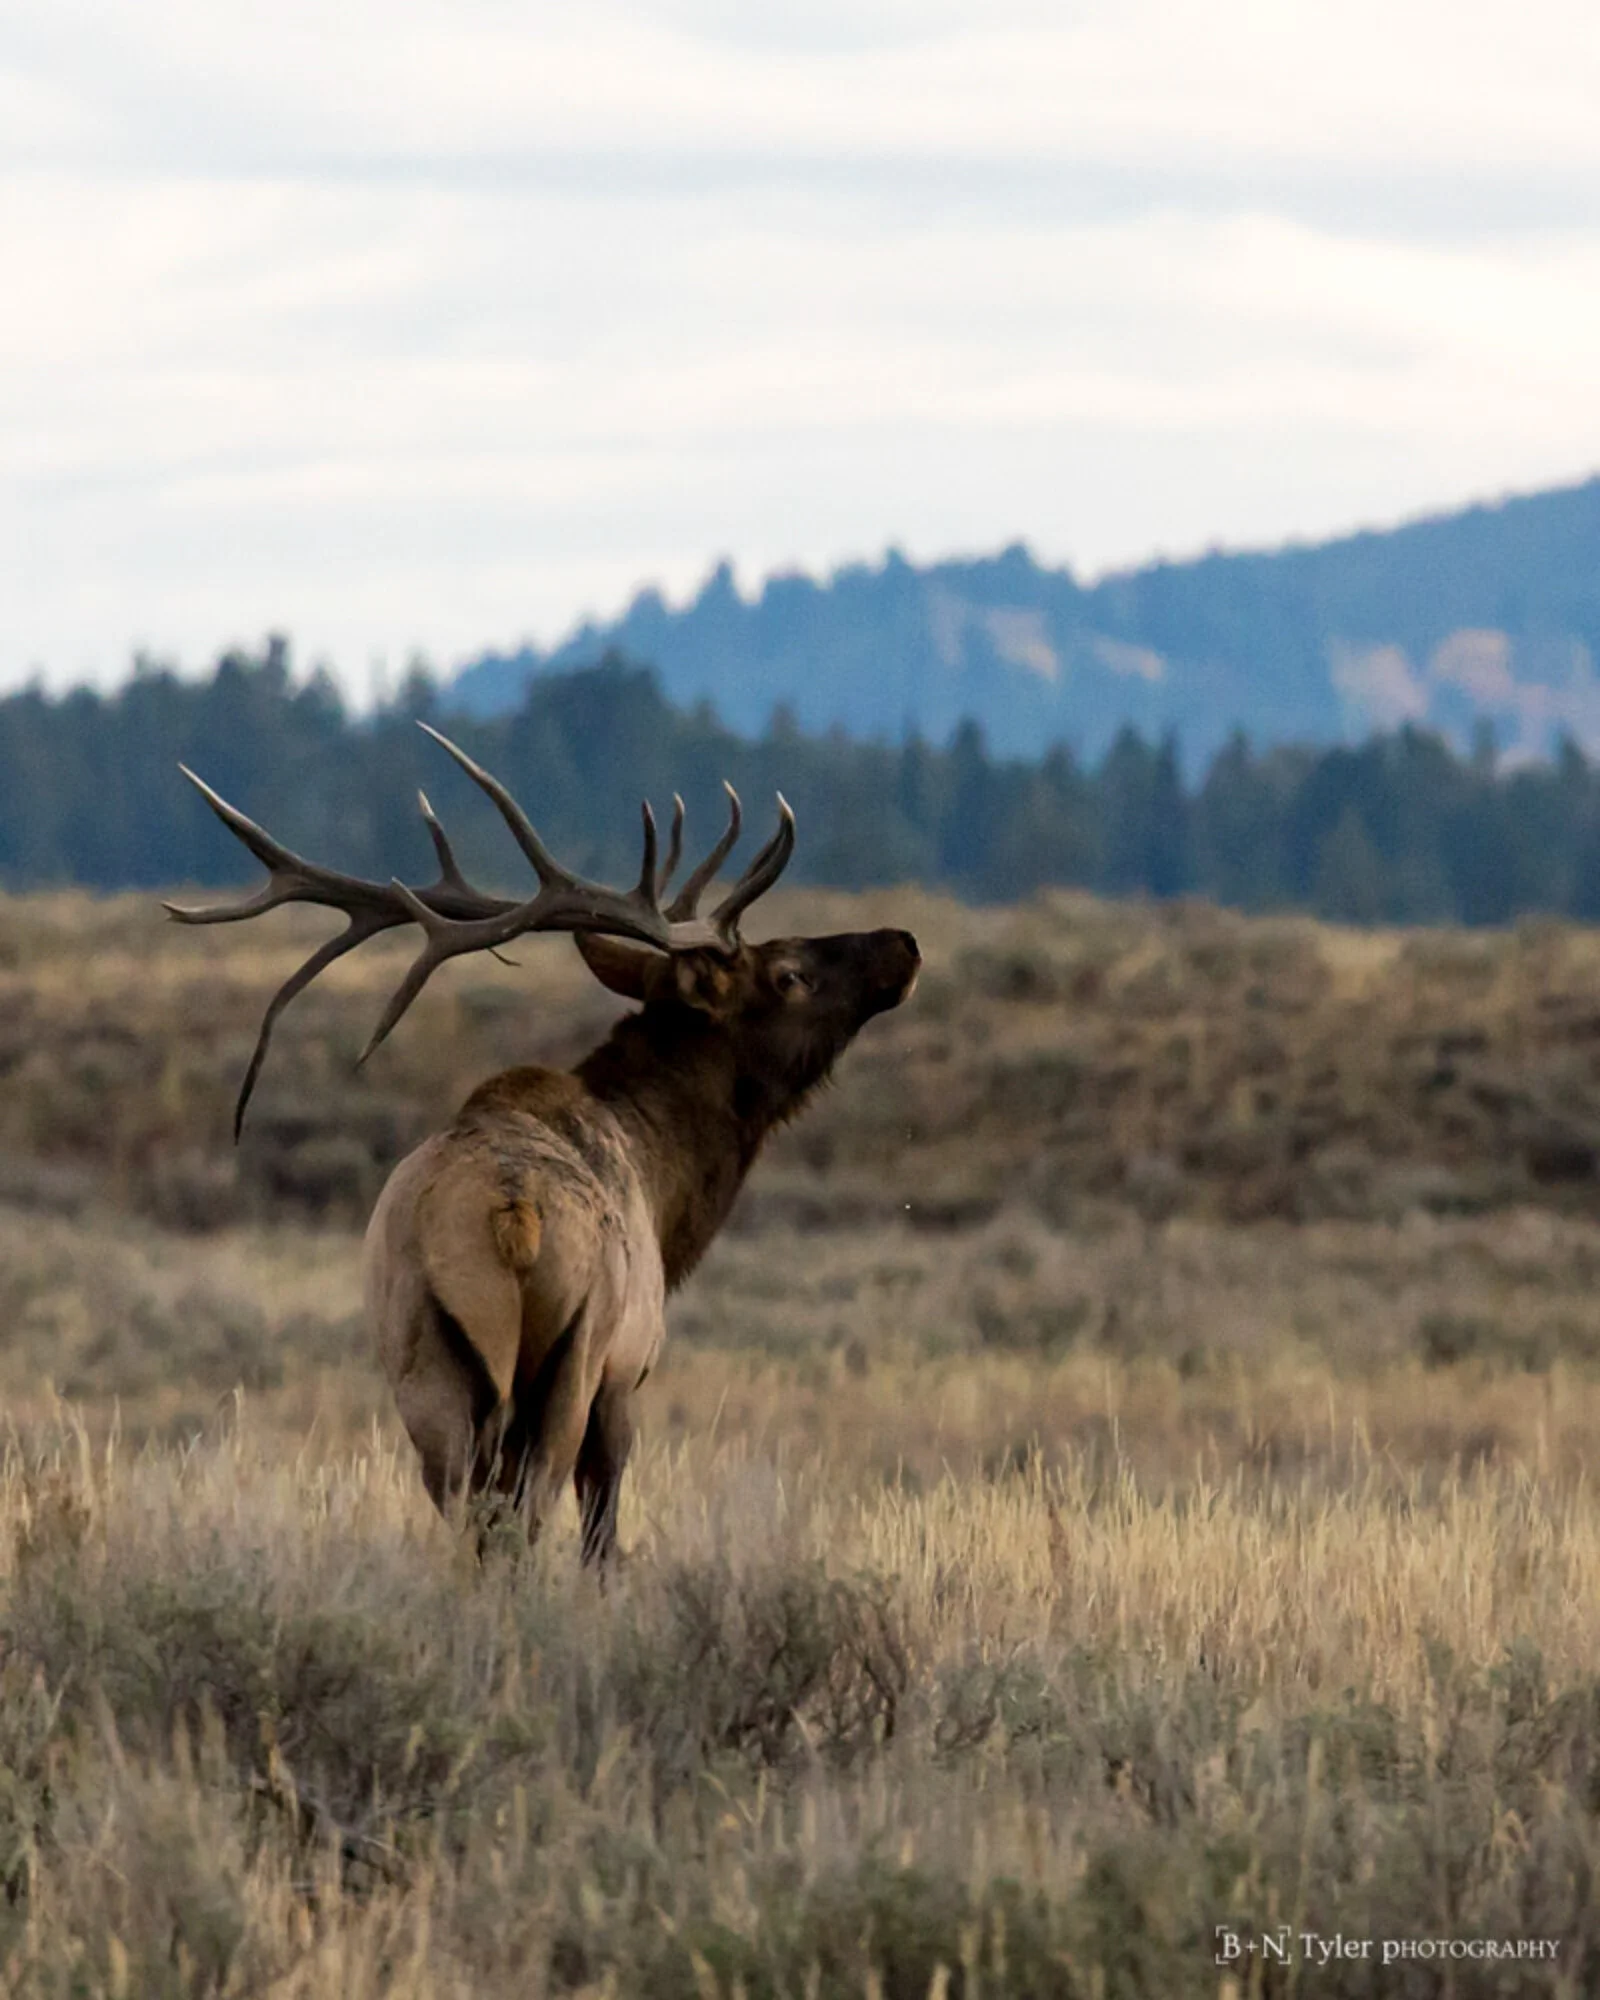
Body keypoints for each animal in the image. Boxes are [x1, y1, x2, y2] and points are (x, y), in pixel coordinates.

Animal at [167, 725, 920, 1564]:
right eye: (789, 973)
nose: (903, 942)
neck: (667, 1186)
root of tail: (512, 1216)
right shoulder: (628, 1366)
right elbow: (603, 1536)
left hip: (426, 1358)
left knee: (469, 1517)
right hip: (574, 1352)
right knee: (528, 1514)